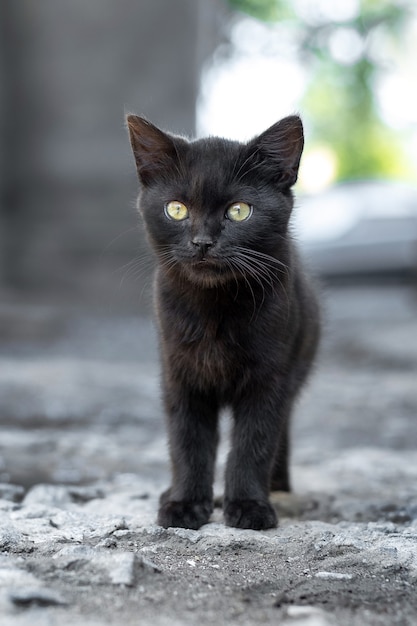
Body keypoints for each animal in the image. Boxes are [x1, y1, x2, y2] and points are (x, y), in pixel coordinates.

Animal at [127, 112, 318, 528]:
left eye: (239, 211)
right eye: (177, 209)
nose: (202, 242)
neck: (214, 308)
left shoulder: (270, 378)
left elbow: (255, 442)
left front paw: (249, 506)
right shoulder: (180, 375)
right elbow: (188, 442)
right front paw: (184, 504)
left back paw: (278, 488)